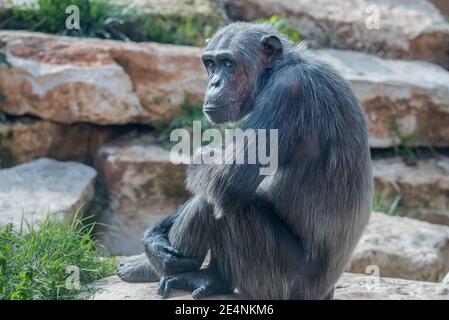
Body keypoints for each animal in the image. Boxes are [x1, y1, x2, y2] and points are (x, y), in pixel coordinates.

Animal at [116, 23, 372, 300]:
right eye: (211, 64)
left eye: (228, 63)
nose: (214, 82)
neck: (275, 71)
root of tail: (325, 292)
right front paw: (154, 239)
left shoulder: (287, 92)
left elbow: (223, 178)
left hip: (277, 281)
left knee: (221, 199)